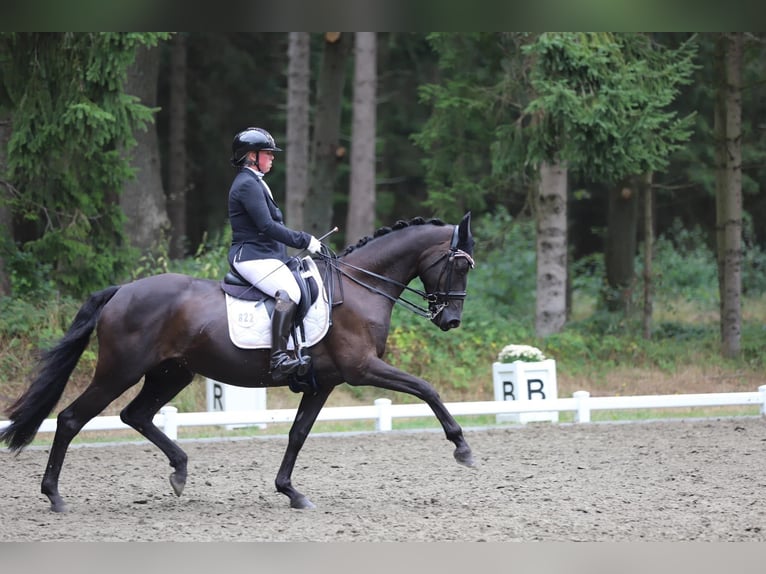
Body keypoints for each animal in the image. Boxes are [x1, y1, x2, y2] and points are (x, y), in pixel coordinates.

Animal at [3, 214, 476, 516]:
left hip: (171, 372)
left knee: (135, 414)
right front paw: (462, 447)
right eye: (459, 265)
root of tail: (121, 291)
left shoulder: (324, 382)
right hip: (120, 371)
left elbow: (298, 434)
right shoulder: (362, 369)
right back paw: (54, 496)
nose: (451, 320)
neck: (361, 286)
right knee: (71, 418)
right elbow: (426, 388)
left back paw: (179, 470)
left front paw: (291, 492)